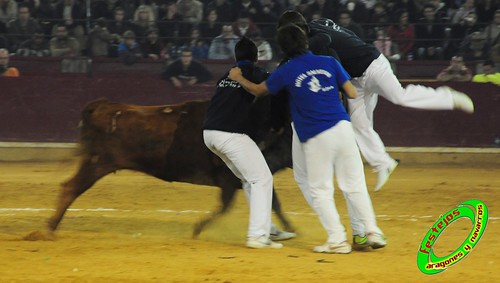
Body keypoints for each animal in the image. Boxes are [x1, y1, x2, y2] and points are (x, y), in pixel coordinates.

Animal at [26, 98, 292, 241]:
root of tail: (102, 106)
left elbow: (274, 202)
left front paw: (288, 230)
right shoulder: (230, 180)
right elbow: (227, 206)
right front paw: (197, 229)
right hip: (96, 163)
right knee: (70, 188)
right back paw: (48, 230)